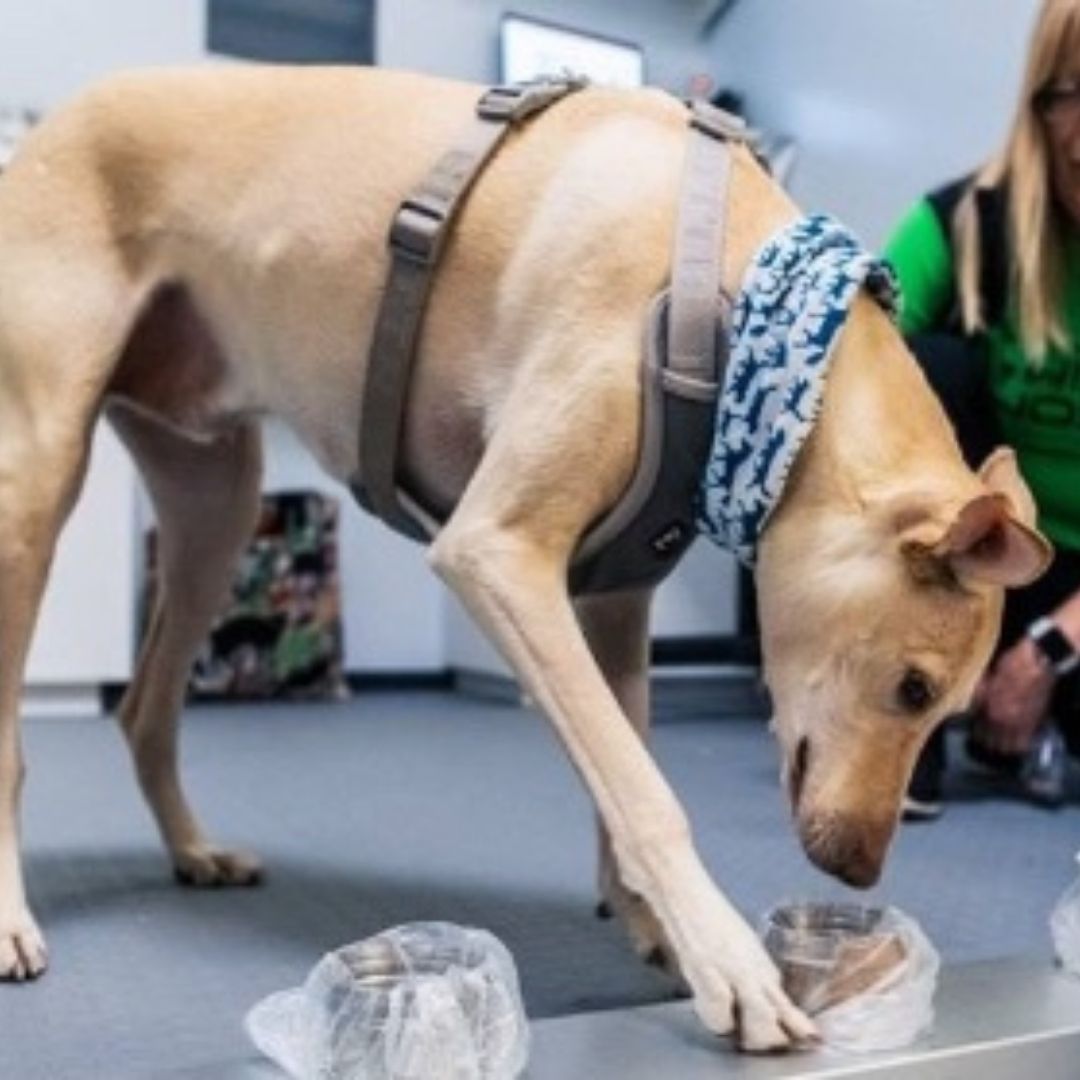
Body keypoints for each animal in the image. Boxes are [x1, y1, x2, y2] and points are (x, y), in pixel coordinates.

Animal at [0, 65, 1049, 1045]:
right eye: (914, 688)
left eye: (948, 708)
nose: (857, 869)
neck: (738, 300)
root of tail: (63, 116)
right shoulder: (496, 554)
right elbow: (645, 791)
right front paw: (730, 961)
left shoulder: (614, 600)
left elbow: (621, 766)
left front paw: (661, 933)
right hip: (36, 486)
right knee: (17, 738)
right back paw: (14, 920)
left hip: (216, 504)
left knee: (144, 708)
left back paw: (193, 849)